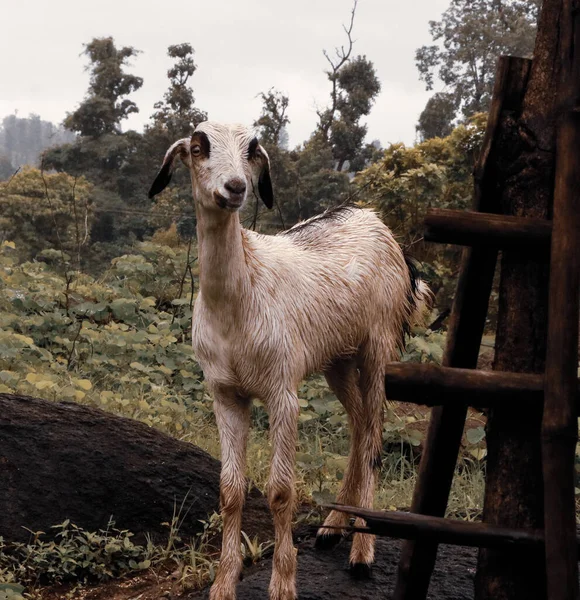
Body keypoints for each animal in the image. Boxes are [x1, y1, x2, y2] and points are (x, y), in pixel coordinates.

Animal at [148, 122, 430, 600]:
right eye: (200, 147)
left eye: (250, 149)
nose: (236, 187)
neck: (241, 297)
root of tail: (380, 225)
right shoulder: (225, 394)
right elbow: (230, 491)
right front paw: (223, 584)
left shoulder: (283, 391)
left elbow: (281, 491)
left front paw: (282, 584)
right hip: (337, 358)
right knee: (358, 424)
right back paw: (332, 528)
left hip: (379, 344)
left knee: (374, 435)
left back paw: (361, 552)